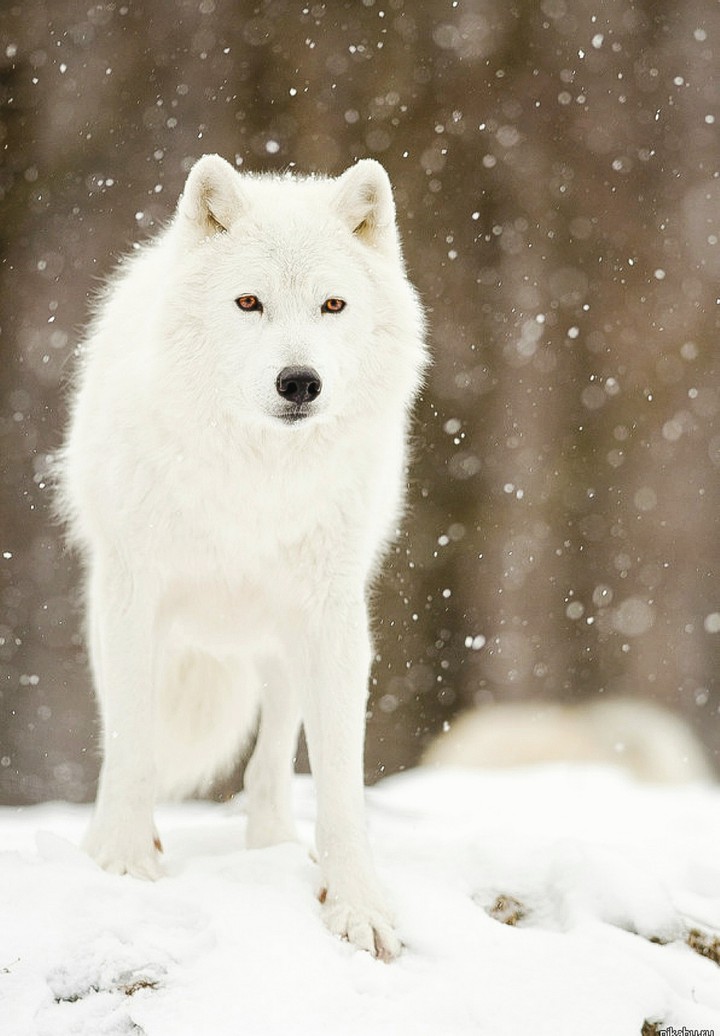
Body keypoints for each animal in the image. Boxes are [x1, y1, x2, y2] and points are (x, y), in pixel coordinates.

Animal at [58, 154, 428, 960]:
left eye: (332, 305)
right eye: (248, 302)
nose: (300, 383)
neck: (257, 481)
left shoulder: (334, 619)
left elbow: (340, 776)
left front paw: (356, 906)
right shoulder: (132, 598)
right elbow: (131, 744)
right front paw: (124, 863)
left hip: (282, 638)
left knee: (273, 754)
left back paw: (272, 843)